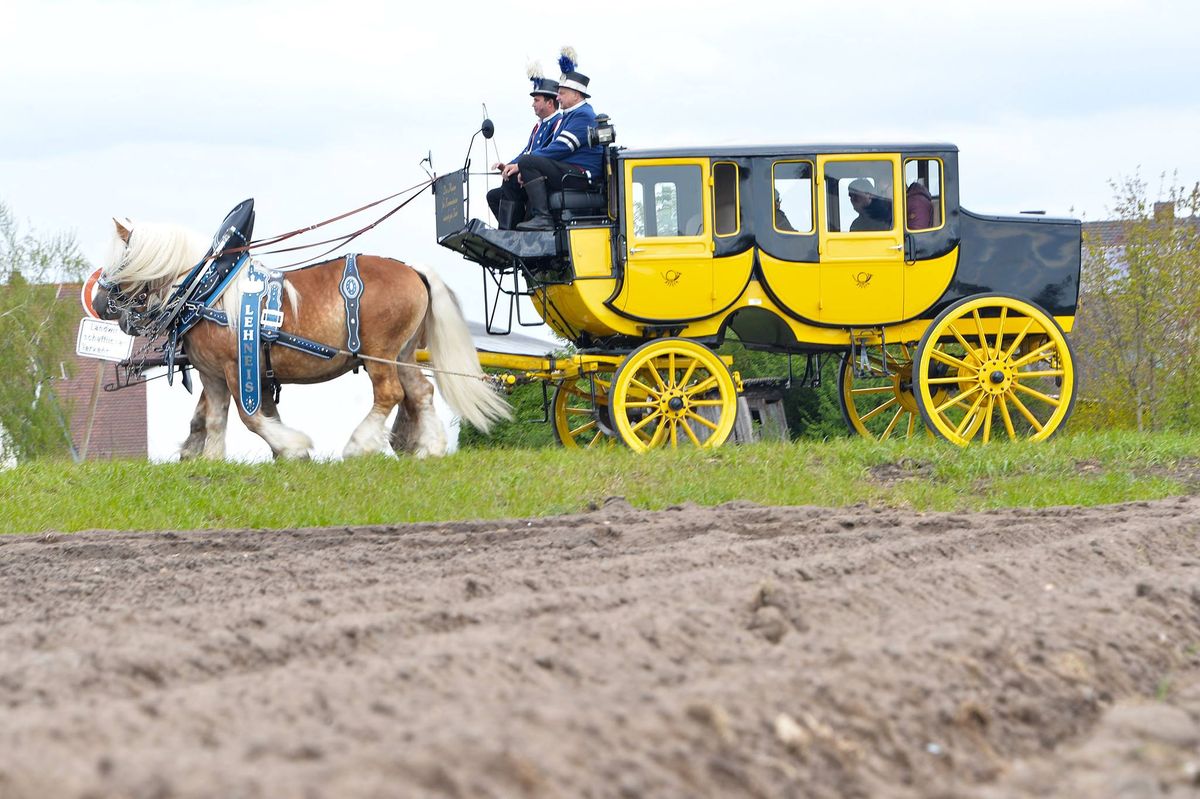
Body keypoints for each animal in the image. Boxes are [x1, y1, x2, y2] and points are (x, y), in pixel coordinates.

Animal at [94, 215, 506, 460]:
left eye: (120, 261)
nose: (98, 302)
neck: (208, 291)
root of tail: (412, 269)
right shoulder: (213, 374)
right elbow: (213, 419)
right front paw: (210, 460)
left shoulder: (235, 368)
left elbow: (250, 417)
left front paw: (293, 447)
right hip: (401, 353)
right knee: (420, 392)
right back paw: (430, 448)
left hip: (378, 353)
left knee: (390, 393)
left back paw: (359, 444)